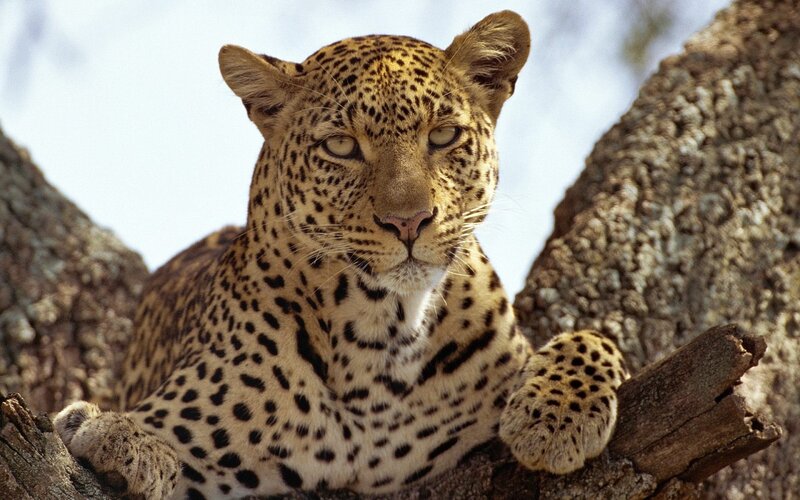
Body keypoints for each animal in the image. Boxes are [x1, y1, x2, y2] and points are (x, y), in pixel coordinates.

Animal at [54, 11, 627, 499]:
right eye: (341, 146)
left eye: (443, 136)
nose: (408, 221)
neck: (382, 332)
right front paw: (115, 436)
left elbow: (594, 337)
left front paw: (554, 419)